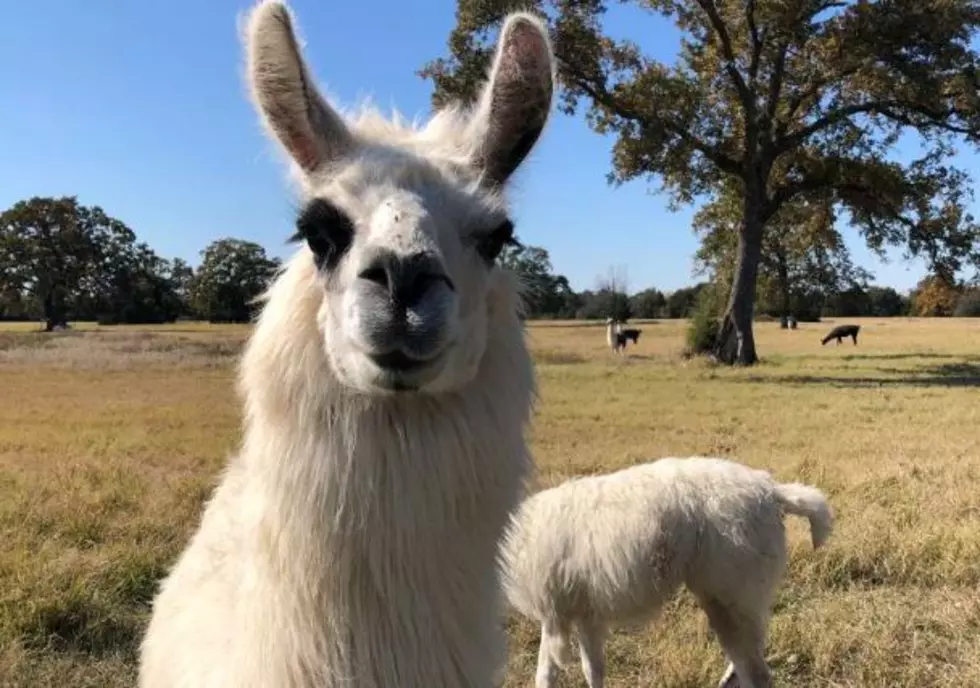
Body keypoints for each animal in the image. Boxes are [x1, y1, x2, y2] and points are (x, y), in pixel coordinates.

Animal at [498, 456, 836, 688]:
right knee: (750, 653)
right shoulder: (585, 612)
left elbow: (545, 673)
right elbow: (592, 669)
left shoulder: (555, 612)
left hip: (730, 587)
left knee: (756, 671)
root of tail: (771, 489)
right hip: (742, 591)